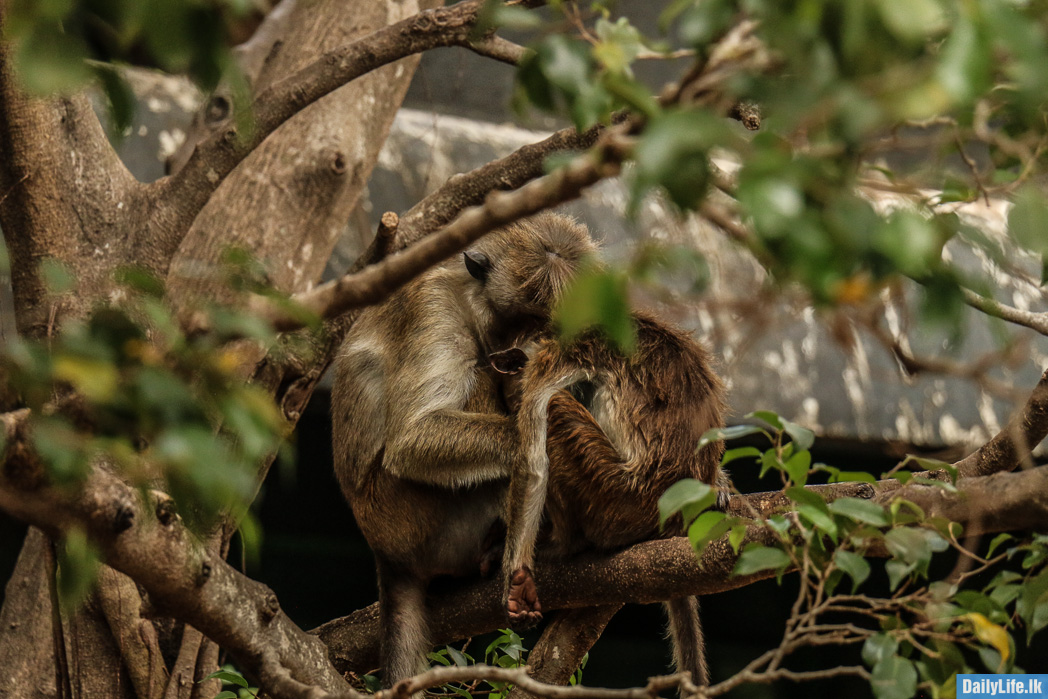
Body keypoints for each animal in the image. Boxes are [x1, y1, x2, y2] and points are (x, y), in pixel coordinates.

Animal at [335, 210, 599, 687]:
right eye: (519, 317)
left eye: (548, 324)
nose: (527, 347)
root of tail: (383, 551)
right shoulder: (435, 307)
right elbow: (412, 438)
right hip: (413, 518)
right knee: (479, 378)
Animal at [492, 316, 729, 683]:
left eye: (511, 397)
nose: (511, 403)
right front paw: (722, 486)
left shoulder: (556, 357)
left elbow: (532, 463)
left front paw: (515, 578)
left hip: (613, 498)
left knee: (555, 409)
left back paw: (566, 545)